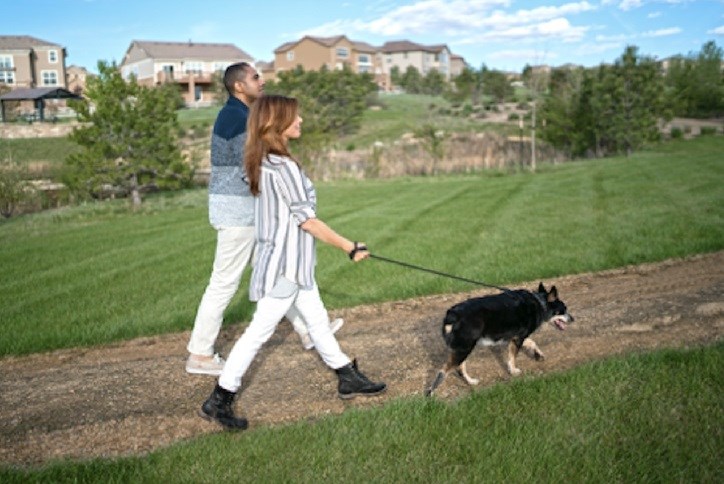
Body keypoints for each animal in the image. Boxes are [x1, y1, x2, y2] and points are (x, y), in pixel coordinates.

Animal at [428, 282, 576, 396]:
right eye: (563, 310)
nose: (573, 319)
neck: (540, 303)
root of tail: (452, 315)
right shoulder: (518, 338)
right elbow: (513, 357)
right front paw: (513, 371)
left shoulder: (516, 337)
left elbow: (531, 342)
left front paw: (538, 354)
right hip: (464, 349)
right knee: (443, 372)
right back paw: (430, 393)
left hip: (463, 349)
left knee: (460, 368)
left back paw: (471, 382)